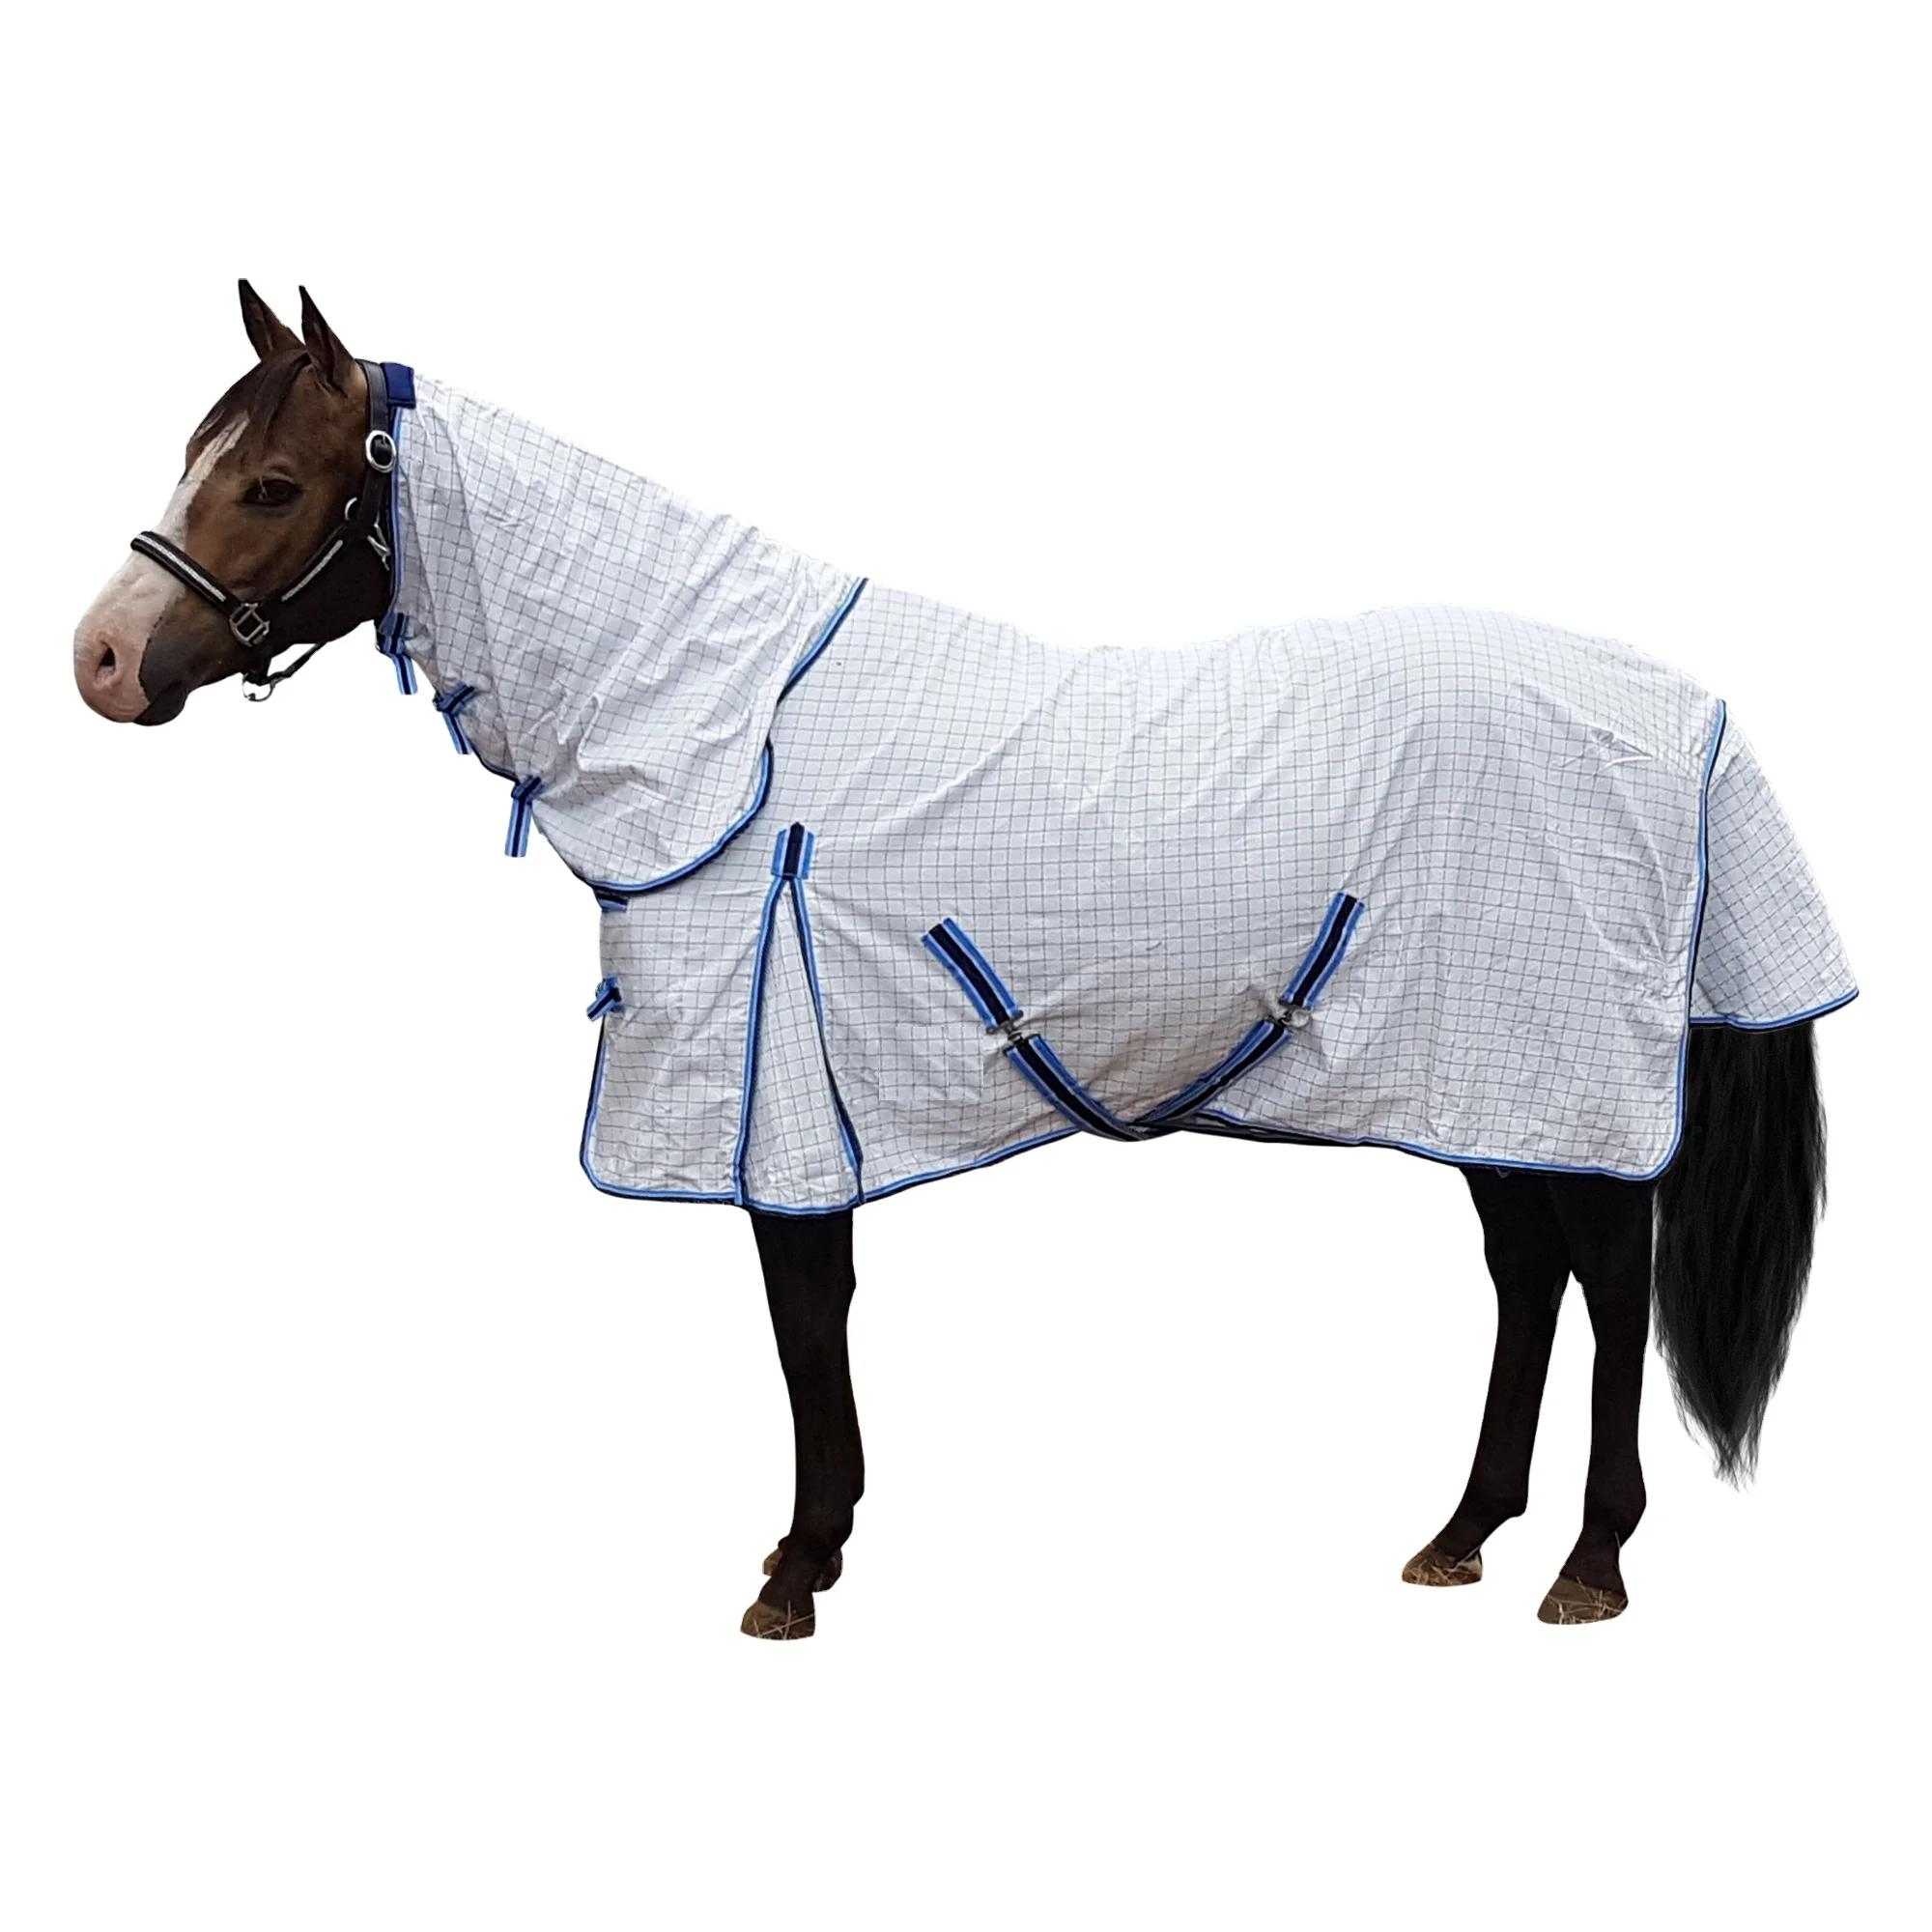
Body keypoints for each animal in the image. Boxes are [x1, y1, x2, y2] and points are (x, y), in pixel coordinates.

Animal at [72, 282, 1853, 1638]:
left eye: (273, 485)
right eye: (194, 458)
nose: (98, 661)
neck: (719, 727)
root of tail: (1686, 707)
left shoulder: (782, 1103)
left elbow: (805, 1329)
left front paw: (797, 1570)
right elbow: (820, 1329)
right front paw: (821, 1544)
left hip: (1554, 1073)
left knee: (1608, 1279)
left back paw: (1589, 1562)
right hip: (1479, 1080)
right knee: (1529, 1274)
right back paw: (1464, 1532)